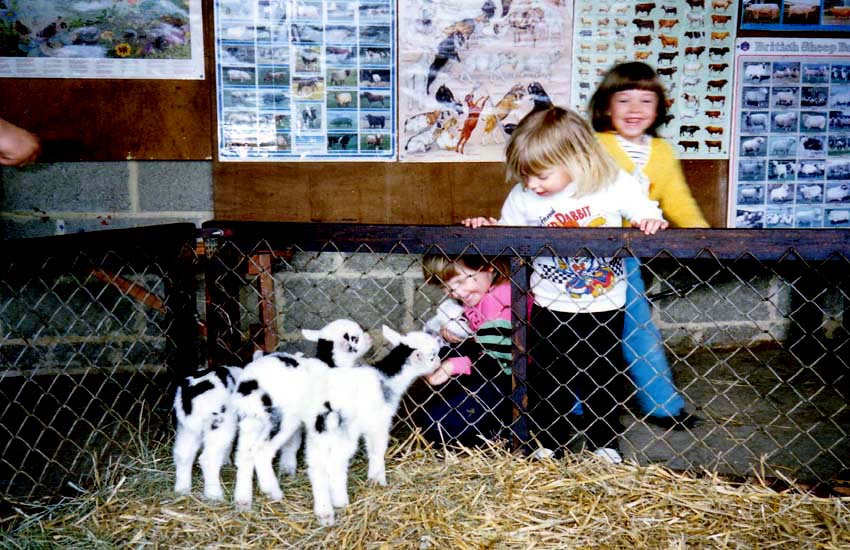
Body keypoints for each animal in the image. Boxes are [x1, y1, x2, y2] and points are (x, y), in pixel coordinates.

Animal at [172, 316, 372, 502]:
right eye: (355, 337)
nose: (369, 337)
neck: (329, 363)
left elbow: (292, 445)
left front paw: (287, 469)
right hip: (246, 422)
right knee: (235, 455)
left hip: (196, 428)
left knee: (186, 454)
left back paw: (185, 490)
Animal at [232, 328, 444, 528]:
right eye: (433, 355)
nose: (439, 364)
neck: (387, 379)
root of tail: (250, 384)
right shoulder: (378, 423)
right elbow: (377, 452)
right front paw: (379, 480)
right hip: (296, 422)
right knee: (276, 454)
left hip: (264, 423)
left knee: (252, 454)